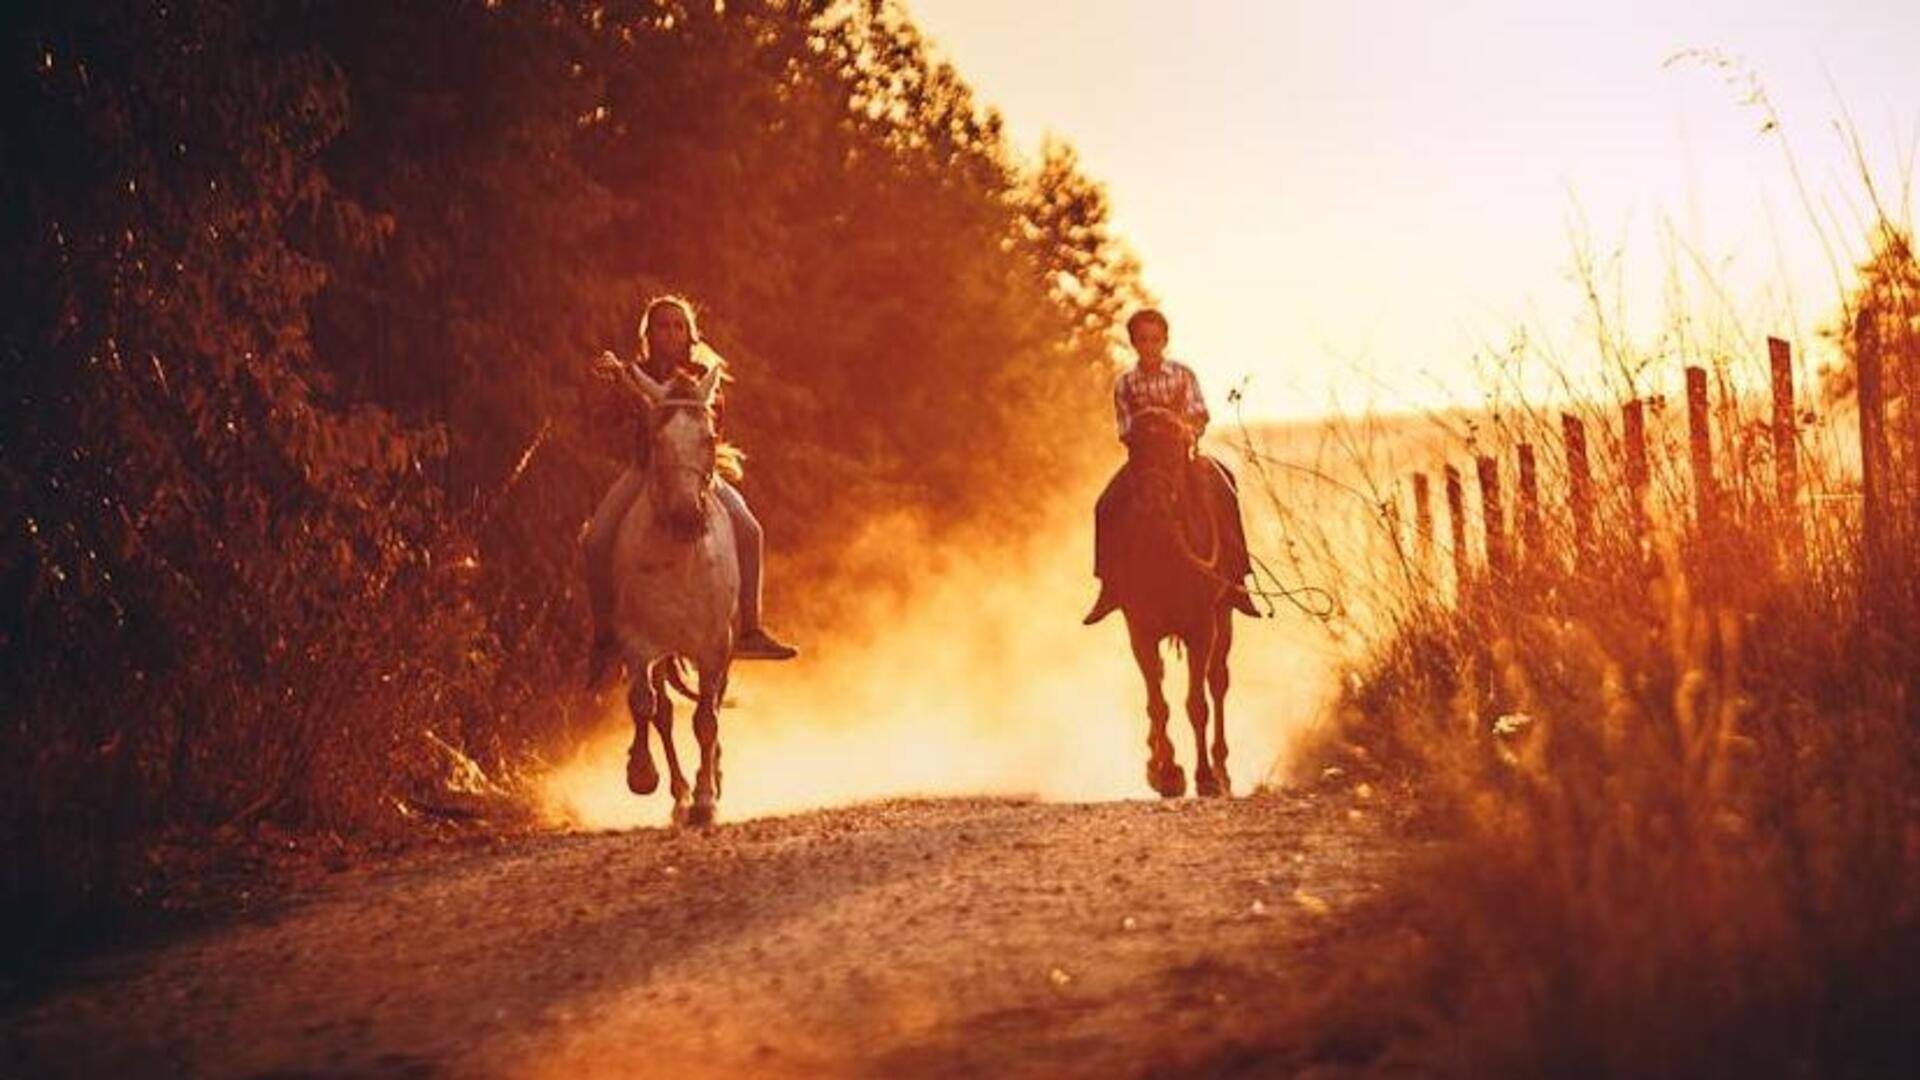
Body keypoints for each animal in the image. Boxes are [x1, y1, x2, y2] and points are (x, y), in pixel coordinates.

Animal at [606, 357, 733, 818]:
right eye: (656, 438)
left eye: (709, 437)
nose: (685, 517)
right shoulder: (638, 643)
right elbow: (646, 705)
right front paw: (643, 774)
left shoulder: (714, 645)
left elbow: (706, 718)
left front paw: (706, 799)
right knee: (663, 712)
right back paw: (678, 793)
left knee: (710, 705)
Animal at [1121, 407, 1236, 795]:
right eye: (1135, 449)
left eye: (1174, 450)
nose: (1155, 504)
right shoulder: (1140, 630)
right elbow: (1157, 704)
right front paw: (1167, 772)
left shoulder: (1201, 628)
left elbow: (1196, 704)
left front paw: (1205, 777)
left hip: (1224, 618)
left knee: (1218, 682)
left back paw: (1222, 770)